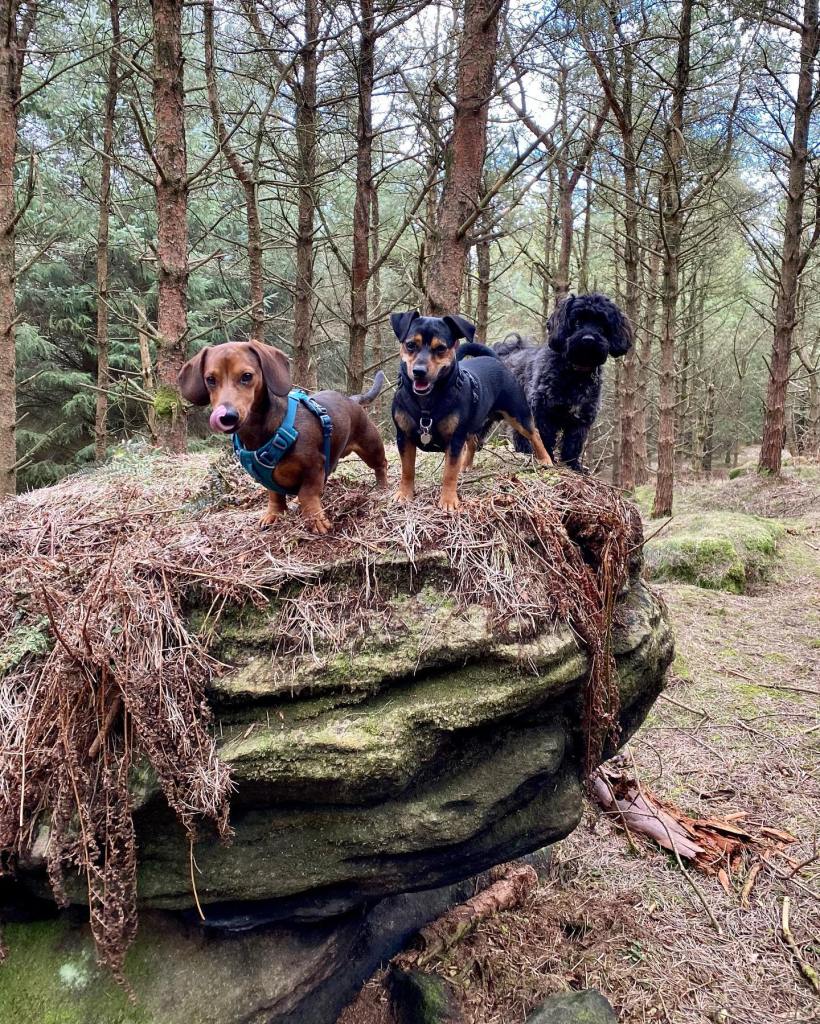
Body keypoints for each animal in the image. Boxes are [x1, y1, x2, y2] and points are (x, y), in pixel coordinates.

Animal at [178, 340, 388, 534]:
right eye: (210, 379)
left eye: (247, 376)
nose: (227, 417)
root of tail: (353, 399)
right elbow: (274, 495)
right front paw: (274, 514)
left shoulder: (314, 466)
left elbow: (307, 494)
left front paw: (315, 519)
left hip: (371, 446)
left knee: (381, 465)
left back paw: (382, 487)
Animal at [390, 310, 552, 511]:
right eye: (411, 345)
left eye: (441, 348)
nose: (419, 371)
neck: (427, 403)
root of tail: (495, 360)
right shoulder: (403, 437)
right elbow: (407, 470)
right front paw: (404, 494)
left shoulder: (455, 439)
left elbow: (449, 472)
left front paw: (448, 500)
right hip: (473, 423)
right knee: (473, 442)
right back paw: (466, 464)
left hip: (518, 414)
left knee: (534, 433)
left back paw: (545, 459)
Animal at [488, 293, 633, 471]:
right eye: (577, 322)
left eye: (602, 324)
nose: (588, 339)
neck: (575, 372)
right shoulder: (542, 411)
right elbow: (545, 436)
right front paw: (547, 458)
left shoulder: (582, 418)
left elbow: (573, 443)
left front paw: (573, 465)